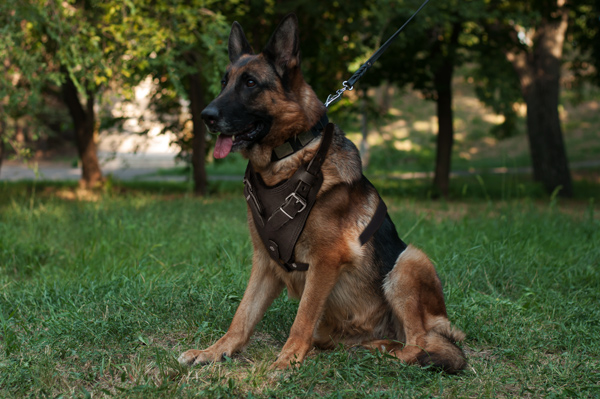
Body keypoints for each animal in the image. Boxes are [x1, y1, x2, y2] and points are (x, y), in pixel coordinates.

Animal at [178, 14, 468, 374]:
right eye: (223, 82)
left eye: (250, 83)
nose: (206, 116)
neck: (287, 158)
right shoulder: (264, 261)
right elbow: (242, 316)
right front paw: (214, 351)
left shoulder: (325, 260)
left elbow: (302, 318)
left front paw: (286, 361)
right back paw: (371, 348)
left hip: (409, 261)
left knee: (418, 344)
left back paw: (387, 355)